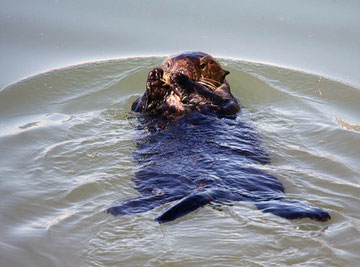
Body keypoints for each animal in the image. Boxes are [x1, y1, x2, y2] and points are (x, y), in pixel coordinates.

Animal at [105, 52, 330, 224]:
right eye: (169, 63)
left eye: (203, 65)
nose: (179, 71)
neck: (178, 103)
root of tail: (208, 188)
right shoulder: (145, 110)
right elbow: (141, 106)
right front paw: (154, 78)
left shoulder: (227, 101)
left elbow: (217, 102)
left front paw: (181, 81)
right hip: (150, 180)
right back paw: (122, 208)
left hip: (263, 183)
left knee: (267, 199)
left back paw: (313, 212)